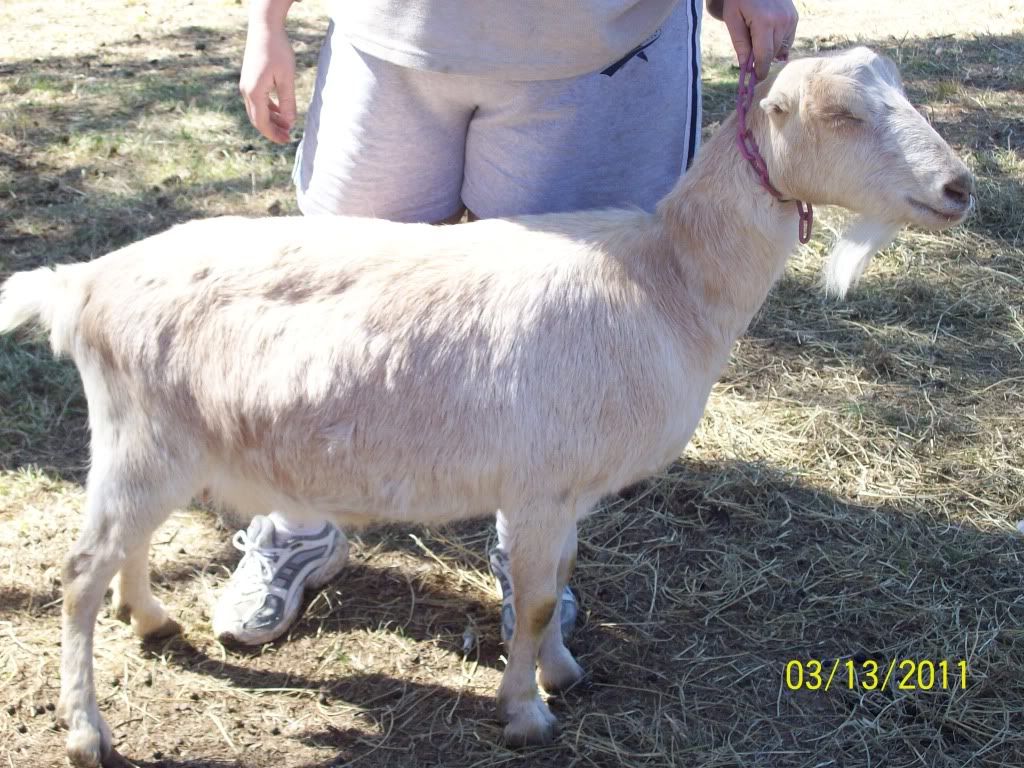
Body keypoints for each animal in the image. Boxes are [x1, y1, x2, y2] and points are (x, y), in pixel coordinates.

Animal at [0, 48, 973, 767]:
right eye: (839, 114)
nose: (961, 188)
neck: (668, 278)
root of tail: (84, 282)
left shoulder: (564, 490)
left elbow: (554, 583)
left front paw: (561, 673)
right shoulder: (539, 486)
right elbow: (535, 601)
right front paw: (527, 714)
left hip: (158, 447)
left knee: (125, 549)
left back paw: (152, 620)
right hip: (142, 441)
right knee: (78, 573)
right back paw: (86, 731)